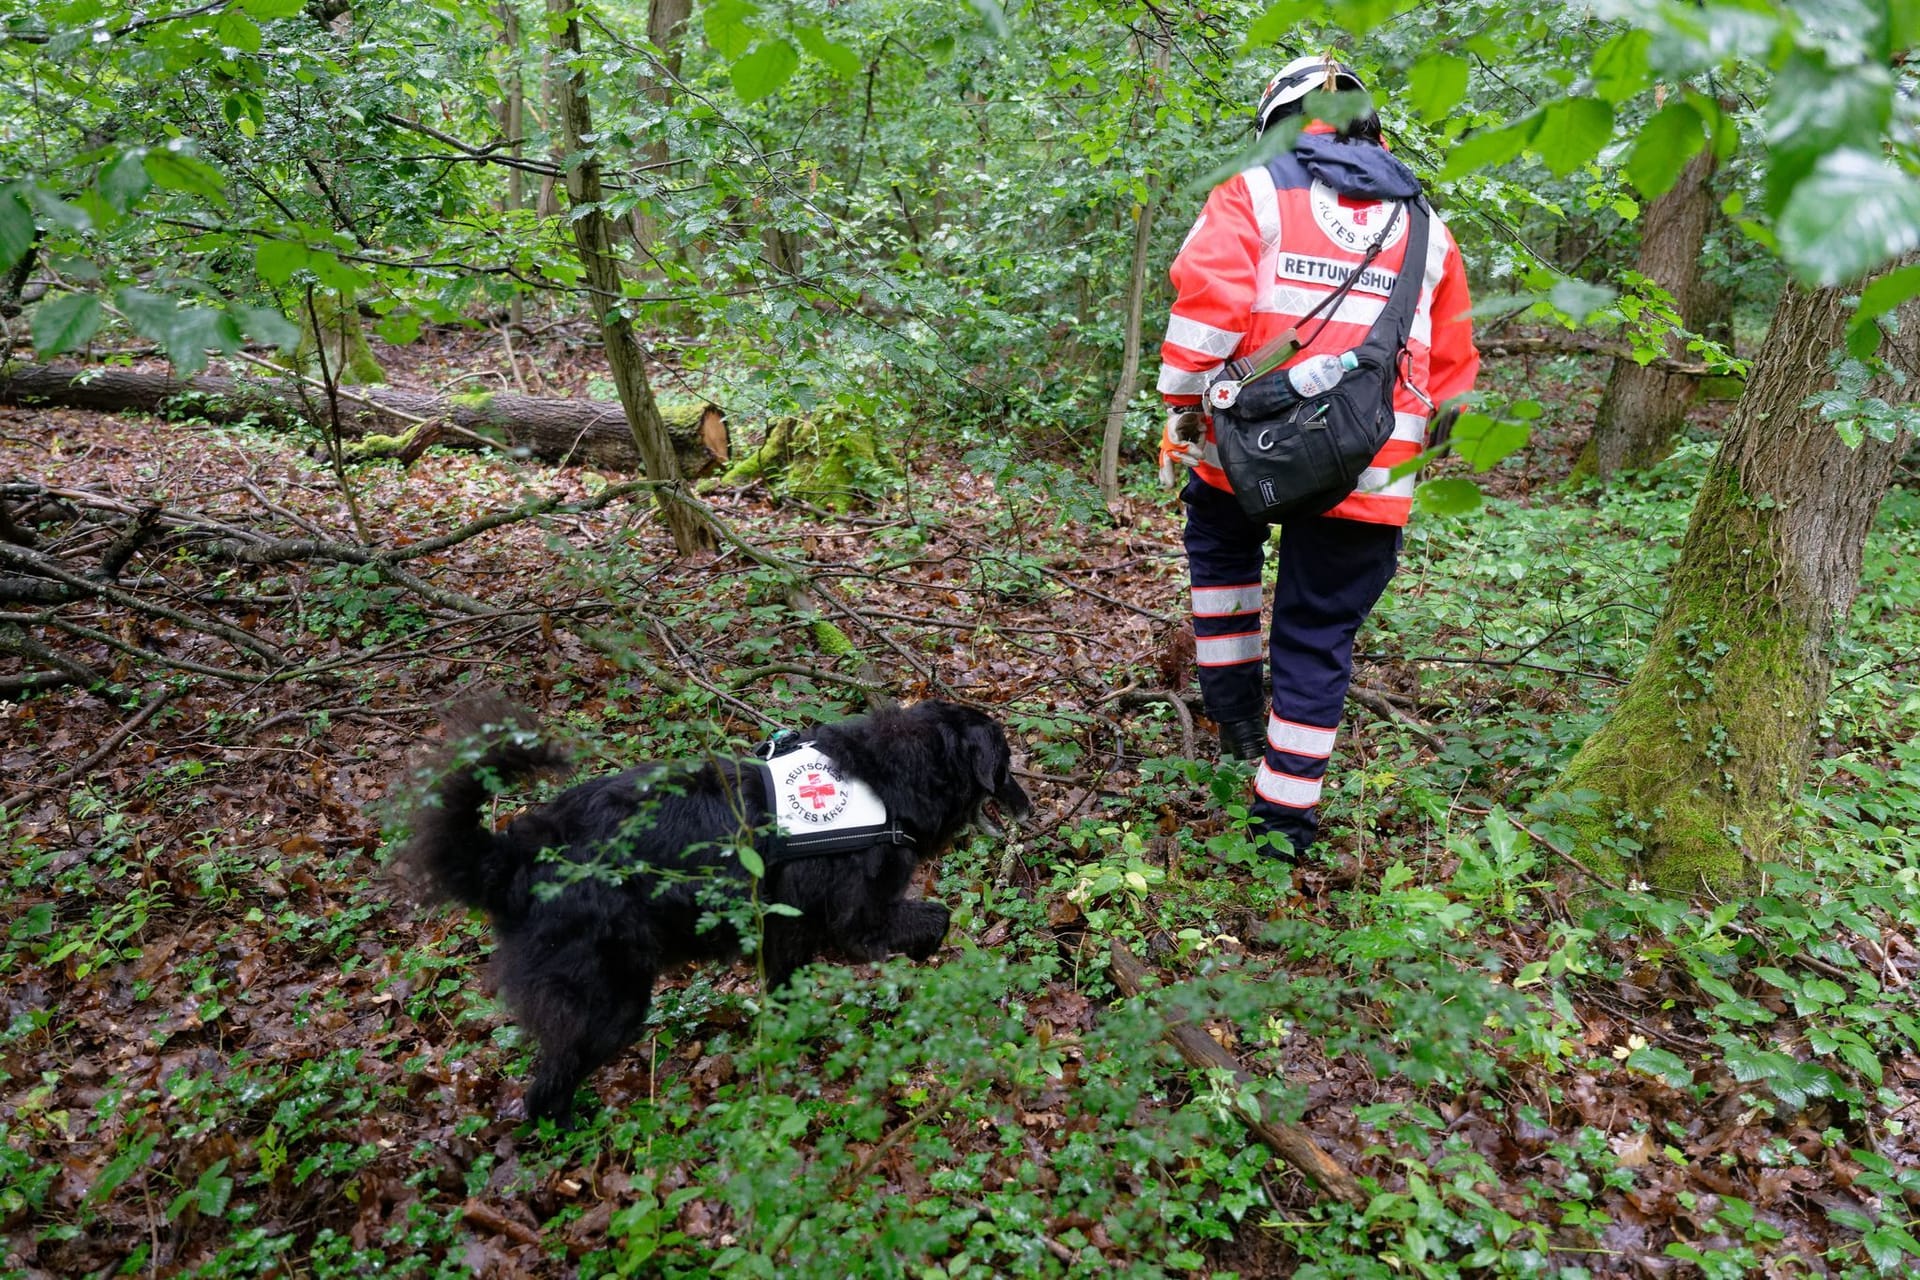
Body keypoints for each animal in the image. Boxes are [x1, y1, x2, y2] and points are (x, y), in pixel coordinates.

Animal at [395, 702, 1029, 1120]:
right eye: (1005, 763)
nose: (1028, 806)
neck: (889, 776)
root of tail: (518, 856)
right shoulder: (860, 920)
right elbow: (936, 919)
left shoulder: (785, 934)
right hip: (612, 1002)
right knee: (545, 1092)